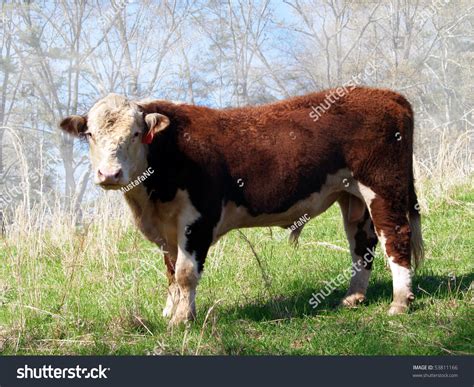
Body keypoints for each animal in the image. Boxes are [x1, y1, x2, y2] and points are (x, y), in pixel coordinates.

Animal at [58, 87, 422, 324]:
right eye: (90, 134)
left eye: (135, 133)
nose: (109, 174)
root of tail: (389, 94)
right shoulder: (166, 229)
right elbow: (171, 272)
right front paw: (171, 311)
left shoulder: (198, 220)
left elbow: (186, 274)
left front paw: (181, 320)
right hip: (352, 196)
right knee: (362, 243)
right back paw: (353, 297)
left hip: (383, 186)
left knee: (395, 236)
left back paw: (399, 302)